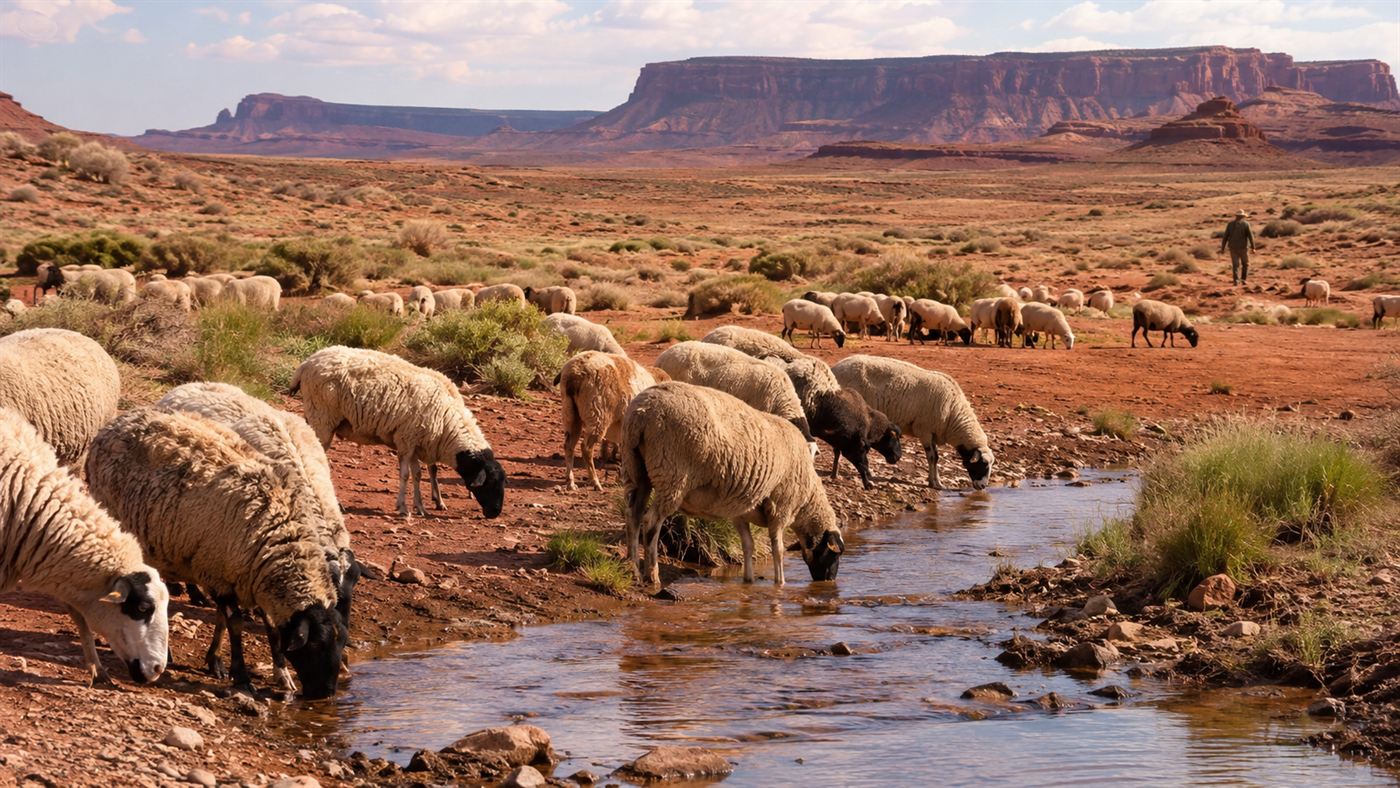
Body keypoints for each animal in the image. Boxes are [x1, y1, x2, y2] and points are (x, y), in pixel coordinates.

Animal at [85, 408, 345, 699]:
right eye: (315, 645)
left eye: (340, 643)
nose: (326, 693)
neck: (280, 531)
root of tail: (118, 421)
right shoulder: (218, 572)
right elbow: (235, 624)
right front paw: (241, 676)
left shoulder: (241, 576)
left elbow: (260, 625)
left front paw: (277, 674)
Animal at [290, 346, 506, 519]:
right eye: (491, 483)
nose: (495, 513)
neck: (447, 423)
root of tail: (306, 364)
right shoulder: (406, 440)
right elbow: (405, 475)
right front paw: (403, 507)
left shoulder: (415, 442)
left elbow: (417, 474)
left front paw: (420, 507)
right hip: (322, 418)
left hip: (315, 417)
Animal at [557, 351, 661, 490]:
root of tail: (575, 372)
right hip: (598, 413)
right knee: (586, 448)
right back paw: (595, 483)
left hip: (570, 413)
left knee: (568, 446)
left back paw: (571, 482)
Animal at [622, 382, 846, 589]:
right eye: (835, 555)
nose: (828, 581)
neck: (806, 500)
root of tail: (642, 412)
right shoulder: (780, 508)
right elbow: (778, 549)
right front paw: (780, 583)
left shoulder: (740, 512)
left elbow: (748, 545)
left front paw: (748, 580)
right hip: (672, 475)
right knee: (651, 522)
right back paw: (652, 575)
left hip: (637, 470)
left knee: (633, 516)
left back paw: (633, 568)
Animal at [832, 355, 994, 490]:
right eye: (983, 464)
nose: (983, 486)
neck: (953, 415)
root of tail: (835, 368)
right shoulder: (925, 431)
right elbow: (932, 457)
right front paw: (935, 483)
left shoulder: (932, 433)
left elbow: (936, 457)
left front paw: (935, 481)